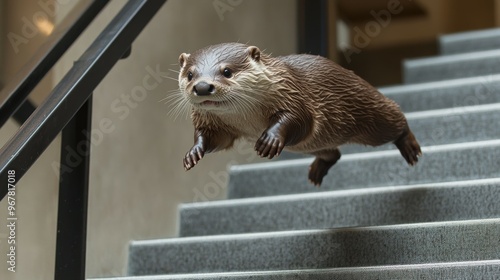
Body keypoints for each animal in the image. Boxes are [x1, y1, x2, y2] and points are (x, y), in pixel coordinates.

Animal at [176, 43, 422, 186]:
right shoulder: (215, 124)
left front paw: (270, 139)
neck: (247, 119)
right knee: (334, 154)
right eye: (190, 74)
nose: (202, 87)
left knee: (396, 119)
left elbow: (298, 119)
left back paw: (410, 147)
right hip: (318, 144)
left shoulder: (294, 95)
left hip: (373, 119)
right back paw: (317, 171)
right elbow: (215, 138)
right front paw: (193, 152)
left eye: (227, 71)